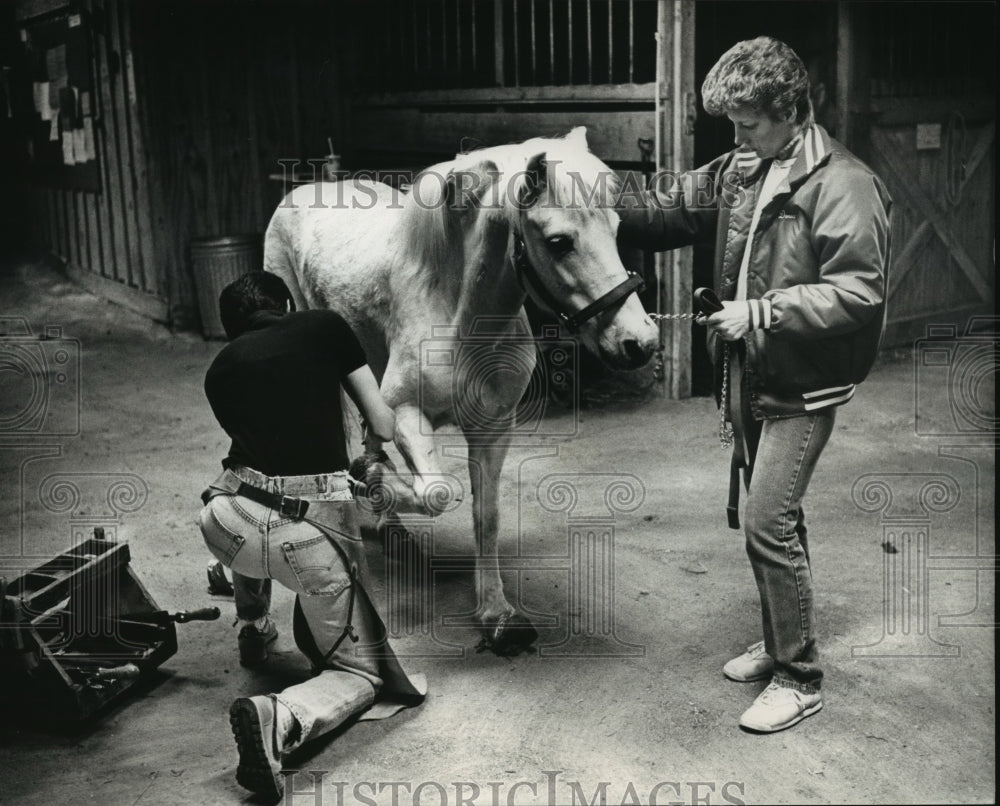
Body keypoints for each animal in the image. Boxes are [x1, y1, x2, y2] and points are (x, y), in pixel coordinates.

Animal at [262, 128, 660, 656]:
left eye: (615, 230)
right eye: (558, 242)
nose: (639, 342)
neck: (457, 312)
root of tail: (302, 194)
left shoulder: (494, 426)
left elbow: (484, 515)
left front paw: (496, 613)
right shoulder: (407, 411)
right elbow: (436, 492)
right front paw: (379, 483)